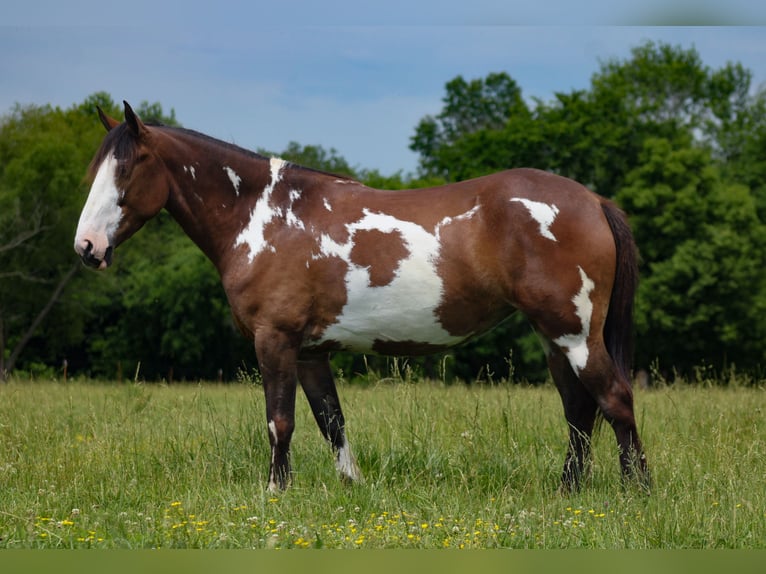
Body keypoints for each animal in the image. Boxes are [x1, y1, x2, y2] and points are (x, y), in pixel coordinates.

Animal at [74, 101, 649, 492]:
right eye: (95, 171)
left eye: (127, 168)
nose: (87, 247)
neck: (263, 217)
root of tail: (592, 200)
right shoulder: (310, 352)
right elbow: (330, 421)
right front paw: (351, 486)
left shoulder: (274, 340)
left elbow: (279, 421)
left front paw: (274, 492)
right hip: (555, 338)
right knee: (579, 411)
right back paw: (567, 491)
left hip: (573, 334)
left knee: (615, 400)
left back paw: (636, 492)